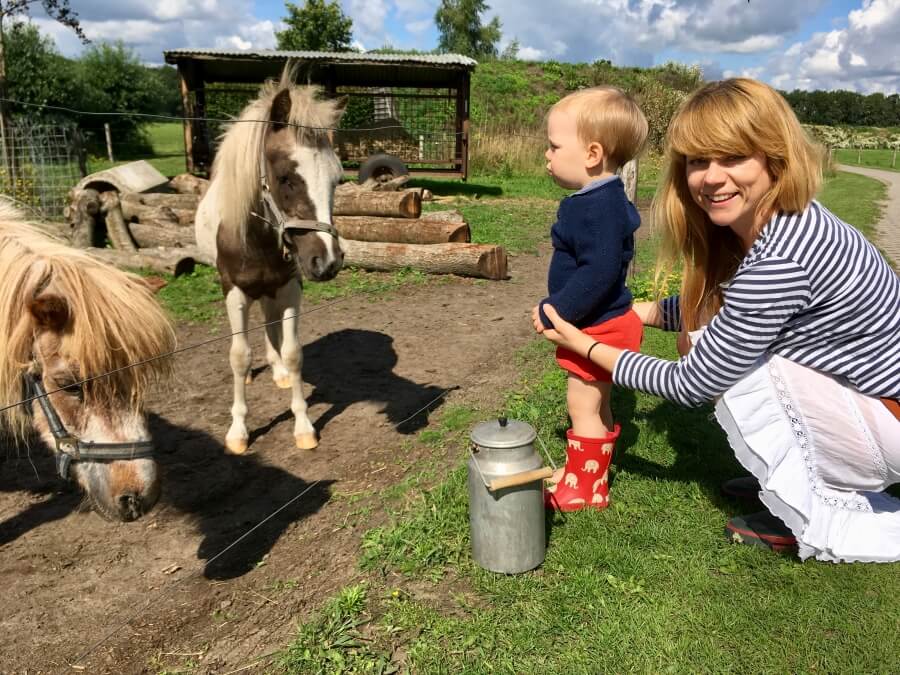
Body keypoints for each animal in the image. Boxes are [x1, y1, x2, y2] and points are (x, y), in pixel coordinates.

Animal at [195, 66, 346, 454]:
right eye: (285, 177)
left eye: (337, 179)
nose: (327, 261)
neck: (257, 239)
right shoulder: (234, 291)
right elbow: (238, 356)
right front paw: (238, 431)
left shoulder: (290, 286)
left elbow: (292, 352)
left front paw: (304, 425)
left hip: (271, 290)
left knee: (269, 323)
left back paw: (277, 372)